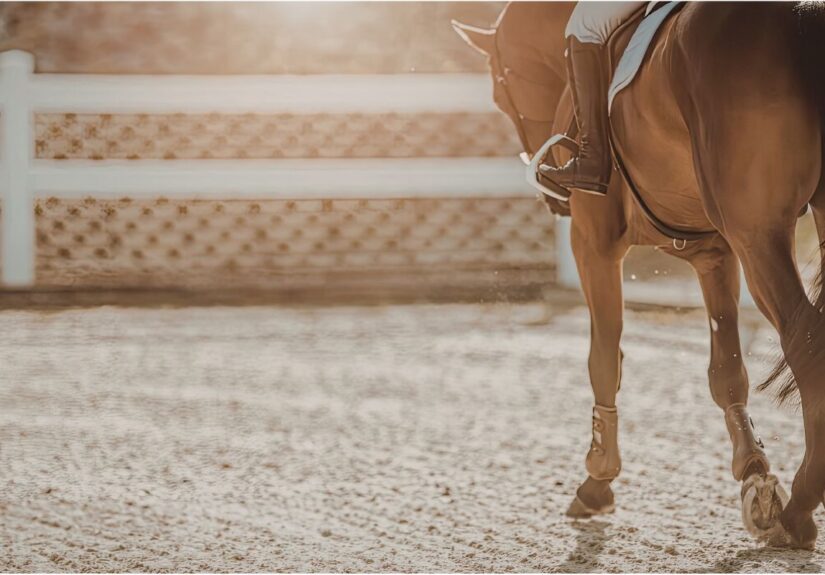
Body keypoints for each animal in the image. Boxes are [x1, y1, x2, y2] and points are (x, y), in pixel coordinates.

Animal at [453, 1, 825, 549]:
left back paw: (798, 510)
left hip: (758, 234)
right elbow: (726, 372)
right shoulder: (714, 252)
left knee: (805, 342)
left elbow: (604, 359)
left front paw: (596, 480)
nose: (553, 197)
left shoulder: (593, 243)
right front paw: (754, 474)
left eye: (502, 91)